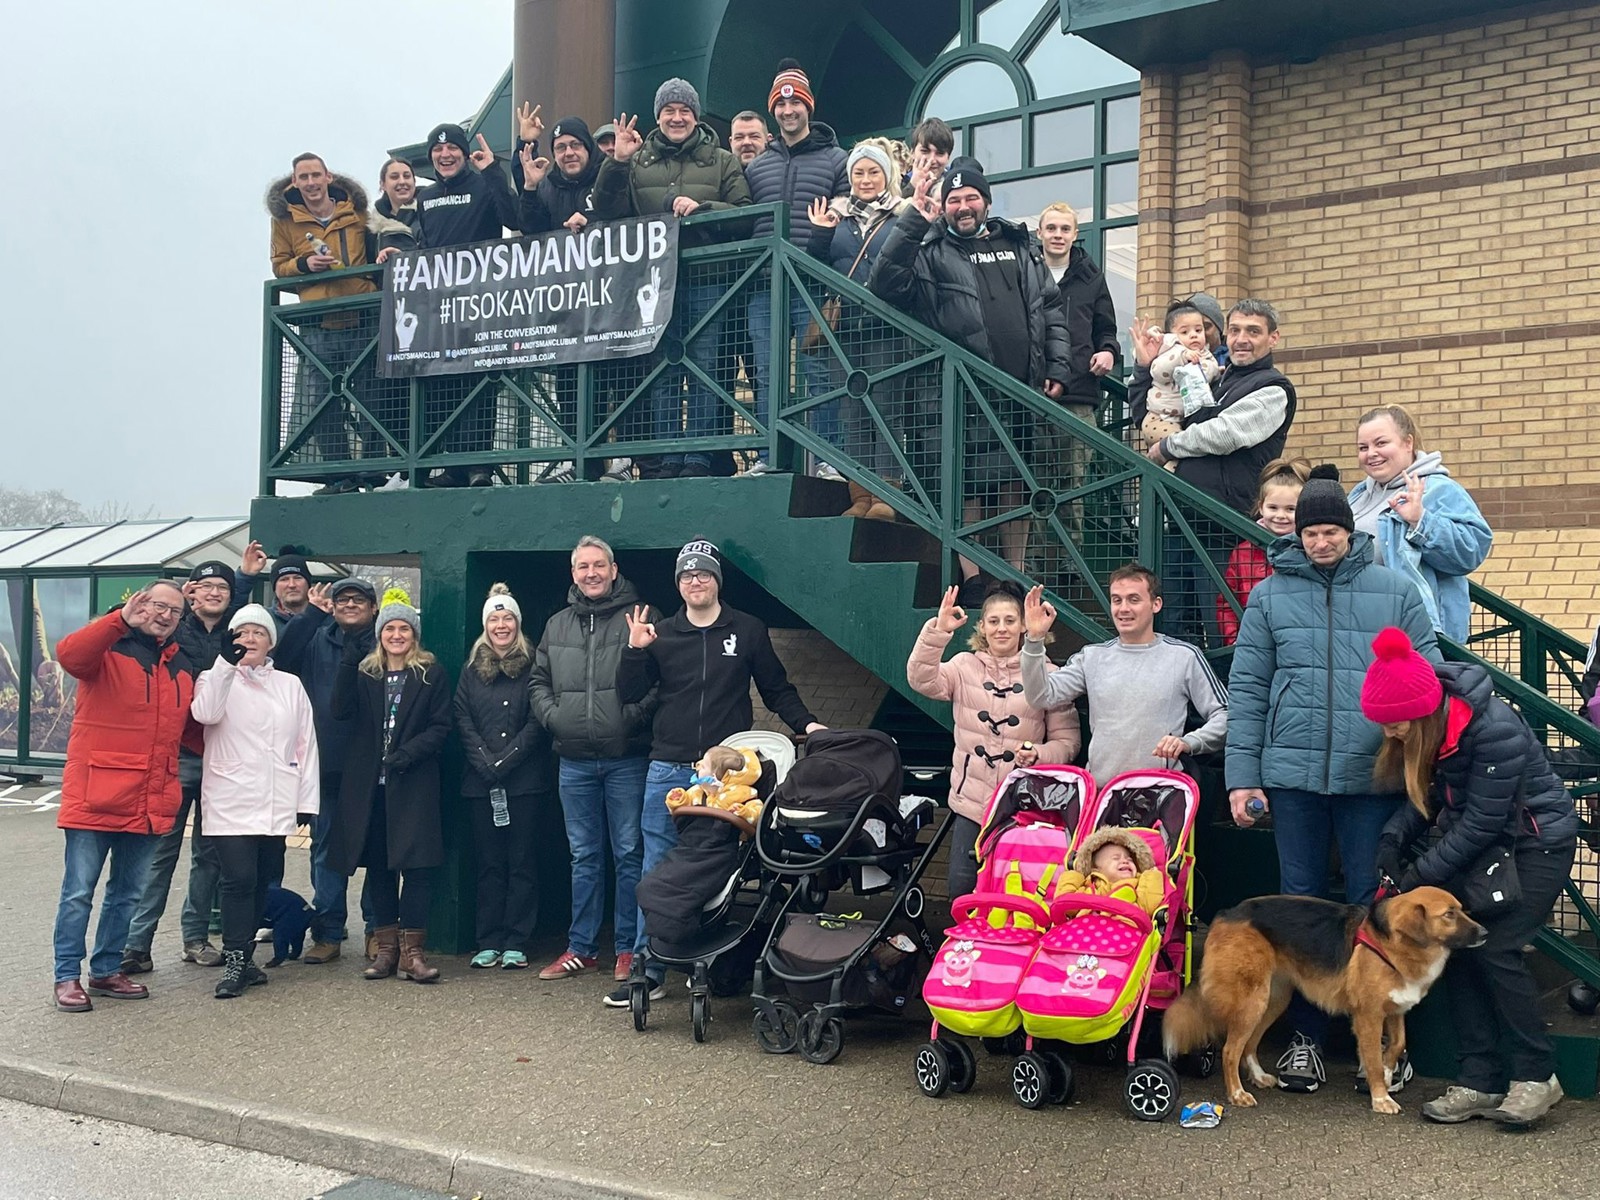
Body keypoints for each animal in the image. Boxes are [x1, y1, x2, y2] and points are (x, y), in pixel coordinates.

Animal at [1164, 889, 1484, 1113]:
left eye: (1461, 909)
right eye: (1449, 914)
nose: (1485, 932)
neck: (1390, 941)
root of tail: (1227, 913)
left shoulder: (1394, 1010)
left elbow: (1397, 1044)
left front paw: (1388, 1071)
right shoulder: (1368, 1016)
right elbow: (1372, 1056)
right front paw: (1380, 1095)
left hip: (1273, 1000)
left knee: (1249, 1045)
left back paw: (1258, 1075)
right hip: (1253, 1000)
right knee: (1230, 1050)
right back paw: (1237, 1093)